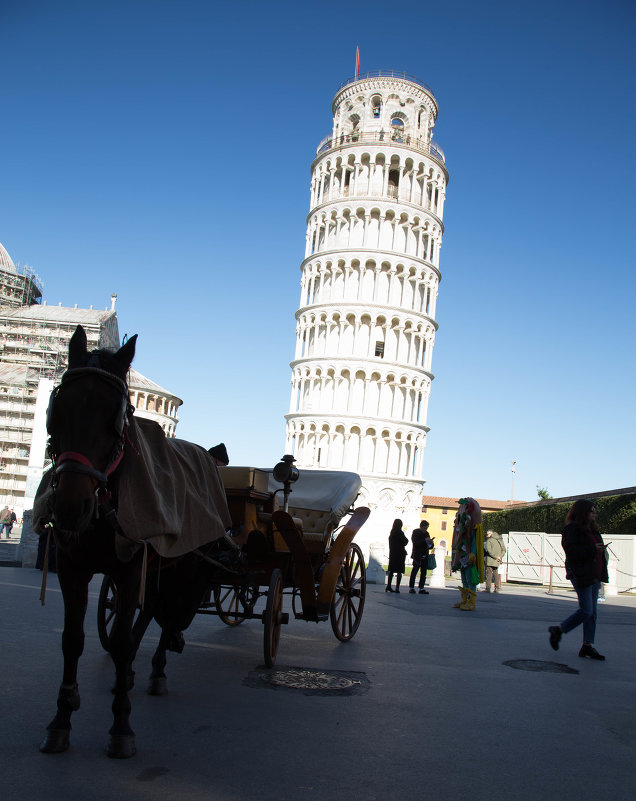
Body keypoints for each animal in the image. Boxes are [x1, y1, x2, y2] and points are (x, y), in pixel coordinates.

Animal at [36, 324, 234, 756]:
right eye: (58, 408)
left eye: (116, 416)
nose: (70, 506)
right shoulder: (73, 567)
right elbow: (73, 640)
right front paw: (61, 718)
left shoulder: (129, 570)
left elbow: (126, 640)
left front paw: (121, 726)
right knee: (152, 611)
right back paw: (126, 675)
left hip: (187, 564)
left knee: (170, 614)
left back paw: (156, 669)